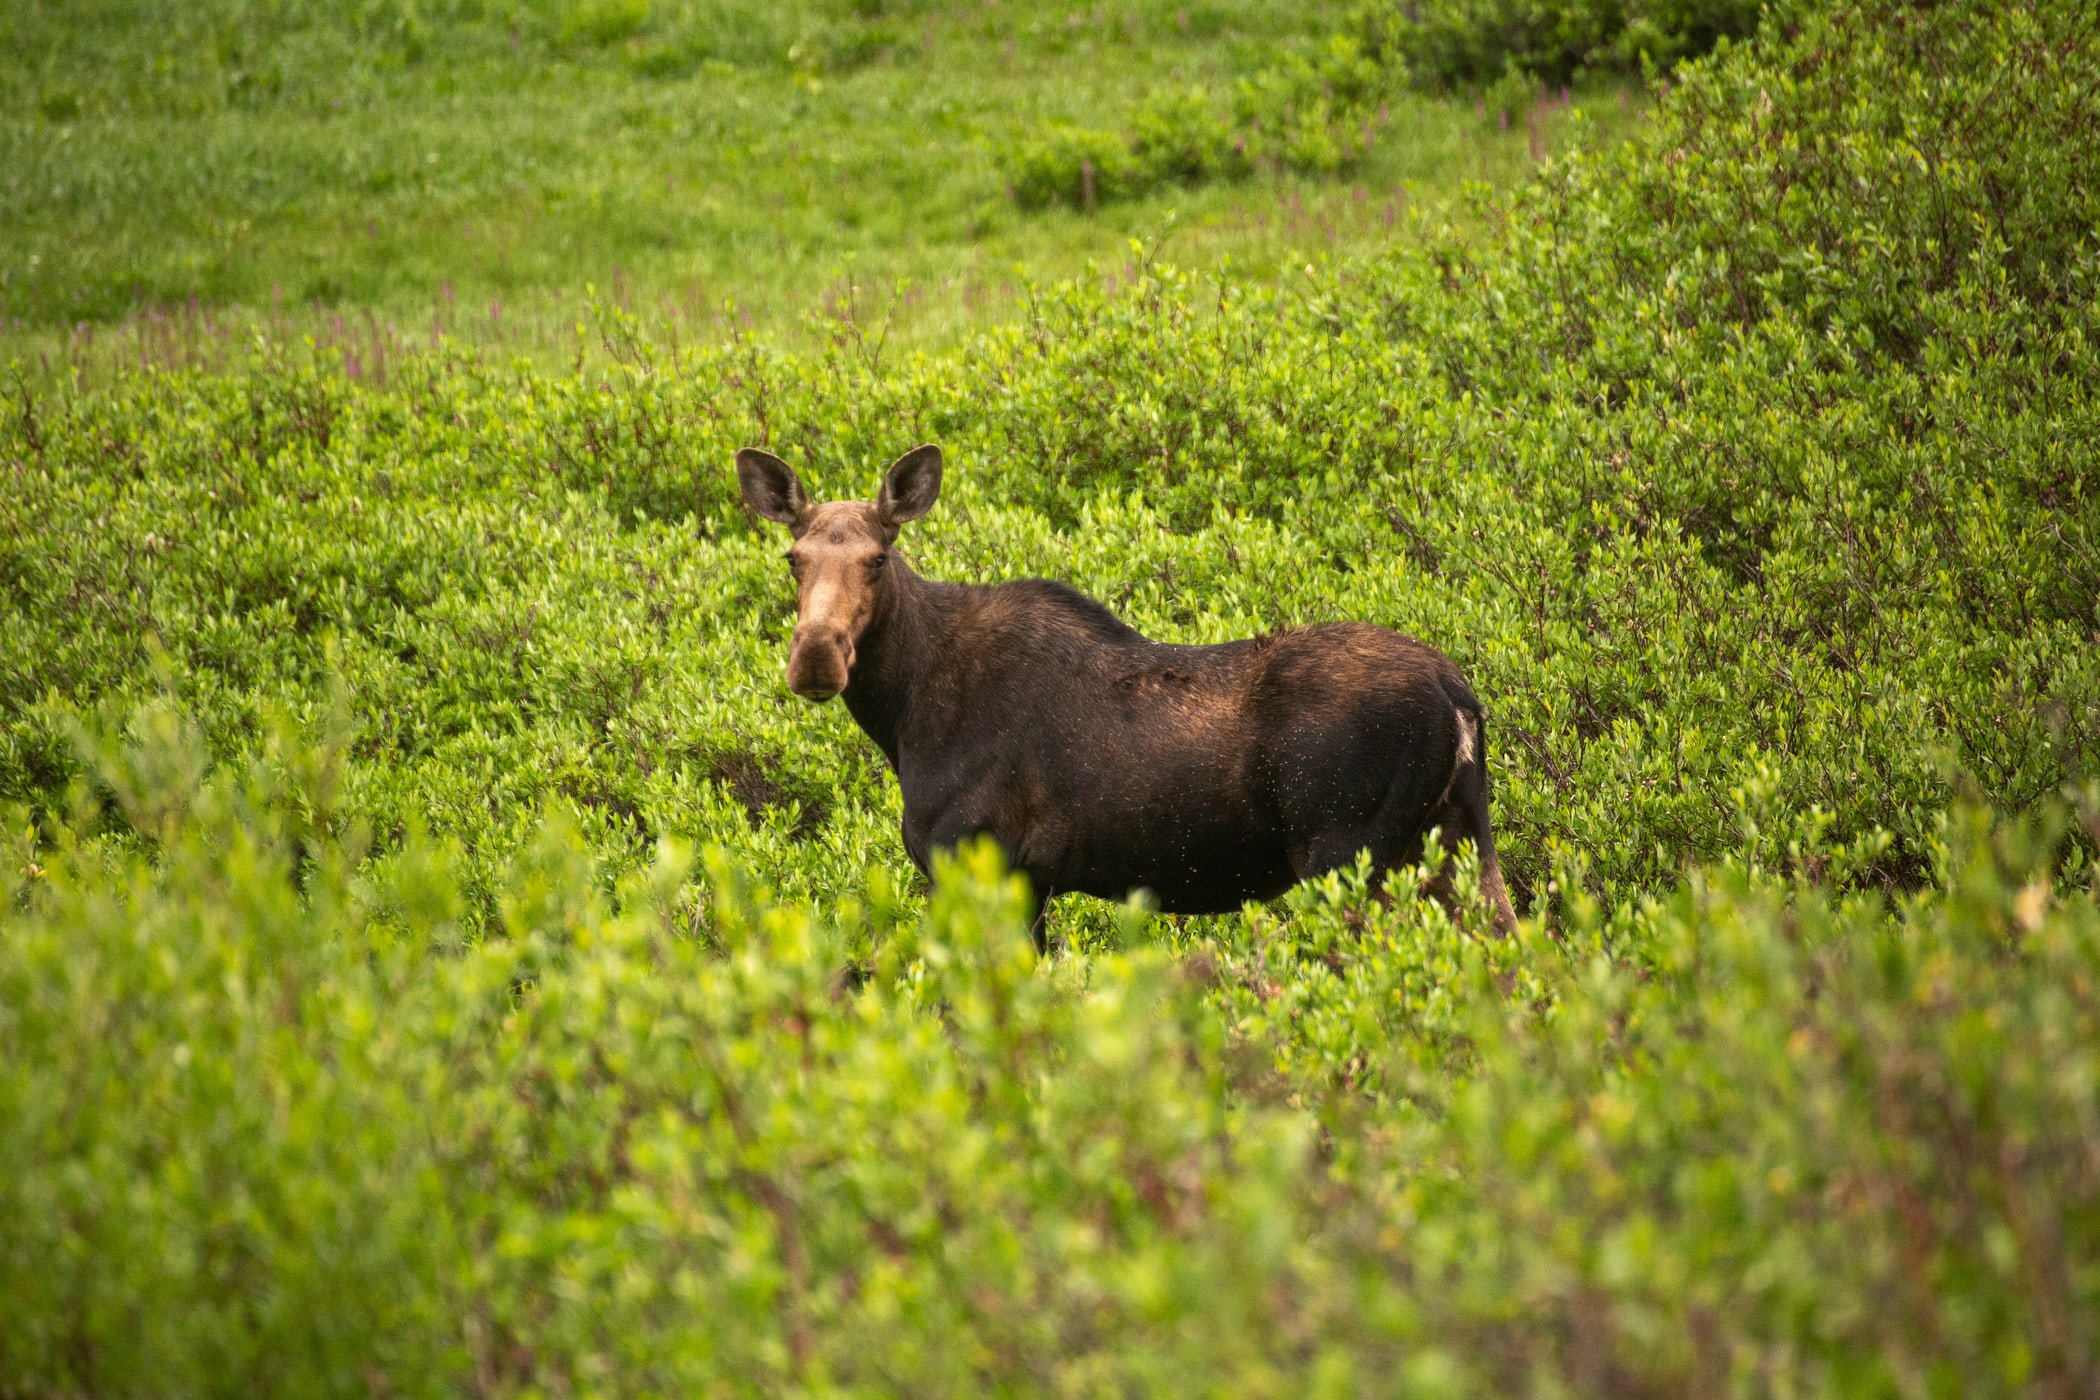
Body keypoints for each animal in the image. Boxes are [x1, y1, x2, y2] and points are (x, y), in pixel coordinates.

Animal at [736, 443, 1519, 947]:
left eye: (877, 558)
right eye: (793, 558)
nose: (815, 658)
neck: (901, 713)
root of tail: (1460, 696)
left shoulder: (983, 860)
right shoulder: (1030, 881)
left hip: (1350, 856)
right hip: (1451, 842)